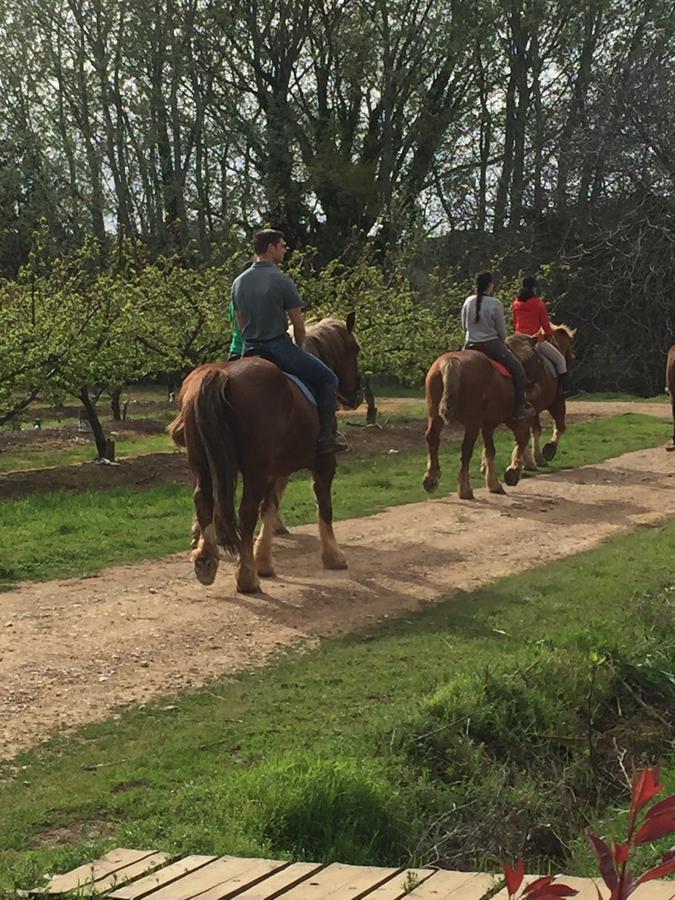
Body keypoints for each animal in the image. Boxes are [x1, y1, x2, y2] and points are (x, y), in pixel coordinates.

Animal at [168, 312, 364, 596]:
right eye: (355, 349)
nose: (357, 394)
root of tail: (219, 374)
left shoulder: (276, 469)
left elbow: (270, 506)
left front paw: (263, 560)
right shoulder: (323, 463)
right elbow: (323, 506)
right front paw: (333, 557)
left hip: (203, 464)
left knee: (204, 500)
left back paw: (206, 559)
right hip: (254, 470)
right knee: (246, 513)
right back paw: (246, 577)